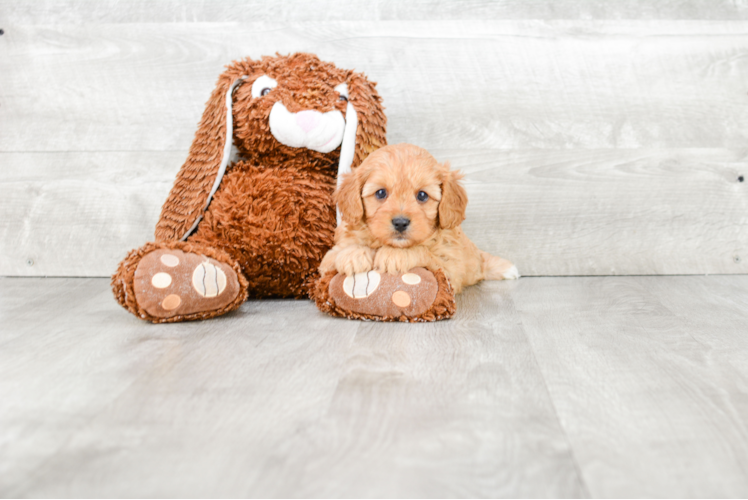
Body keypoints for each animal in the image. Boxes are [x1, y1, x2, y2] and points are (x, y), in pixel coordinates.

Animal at [322, 143, 520, 292]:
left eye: (422, 195)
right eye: (380, 193)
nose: (400, 223)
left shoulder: (450, 269)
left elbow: (424, 252)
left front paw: (394, 255)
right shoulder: (324, 264)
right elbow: (337, 254)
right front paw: (353, 254)